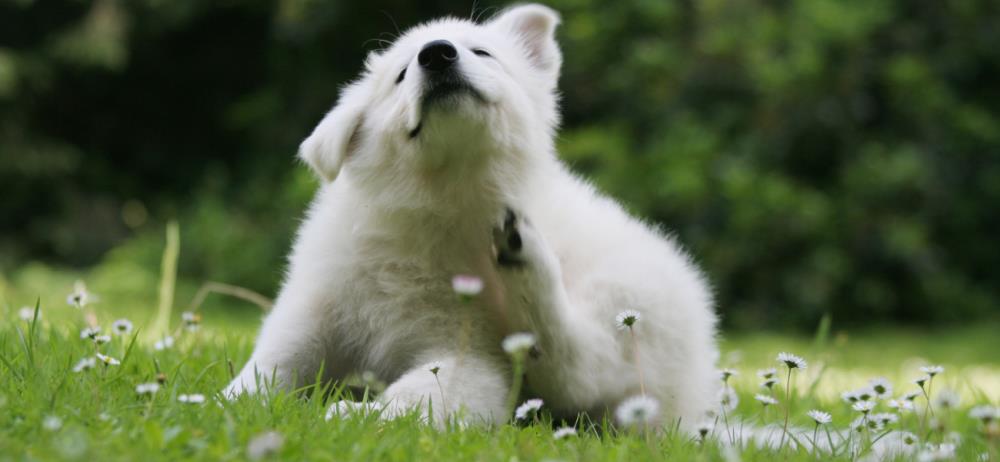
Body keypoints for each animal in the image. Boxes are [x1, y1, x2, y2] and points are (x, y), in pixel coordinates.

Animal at [229, 2, 720, 430]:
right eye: (400, 75)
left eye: (483, 52)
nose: (437, 54)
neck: (441, 201)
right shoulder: (319, 301)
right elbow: (274, 360)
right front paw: (233, 403)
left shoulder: (471, 353)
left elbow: (420, 396)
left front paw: (354, 416)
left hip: (630, 300)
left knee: (580, 367)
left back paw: (526, 257)